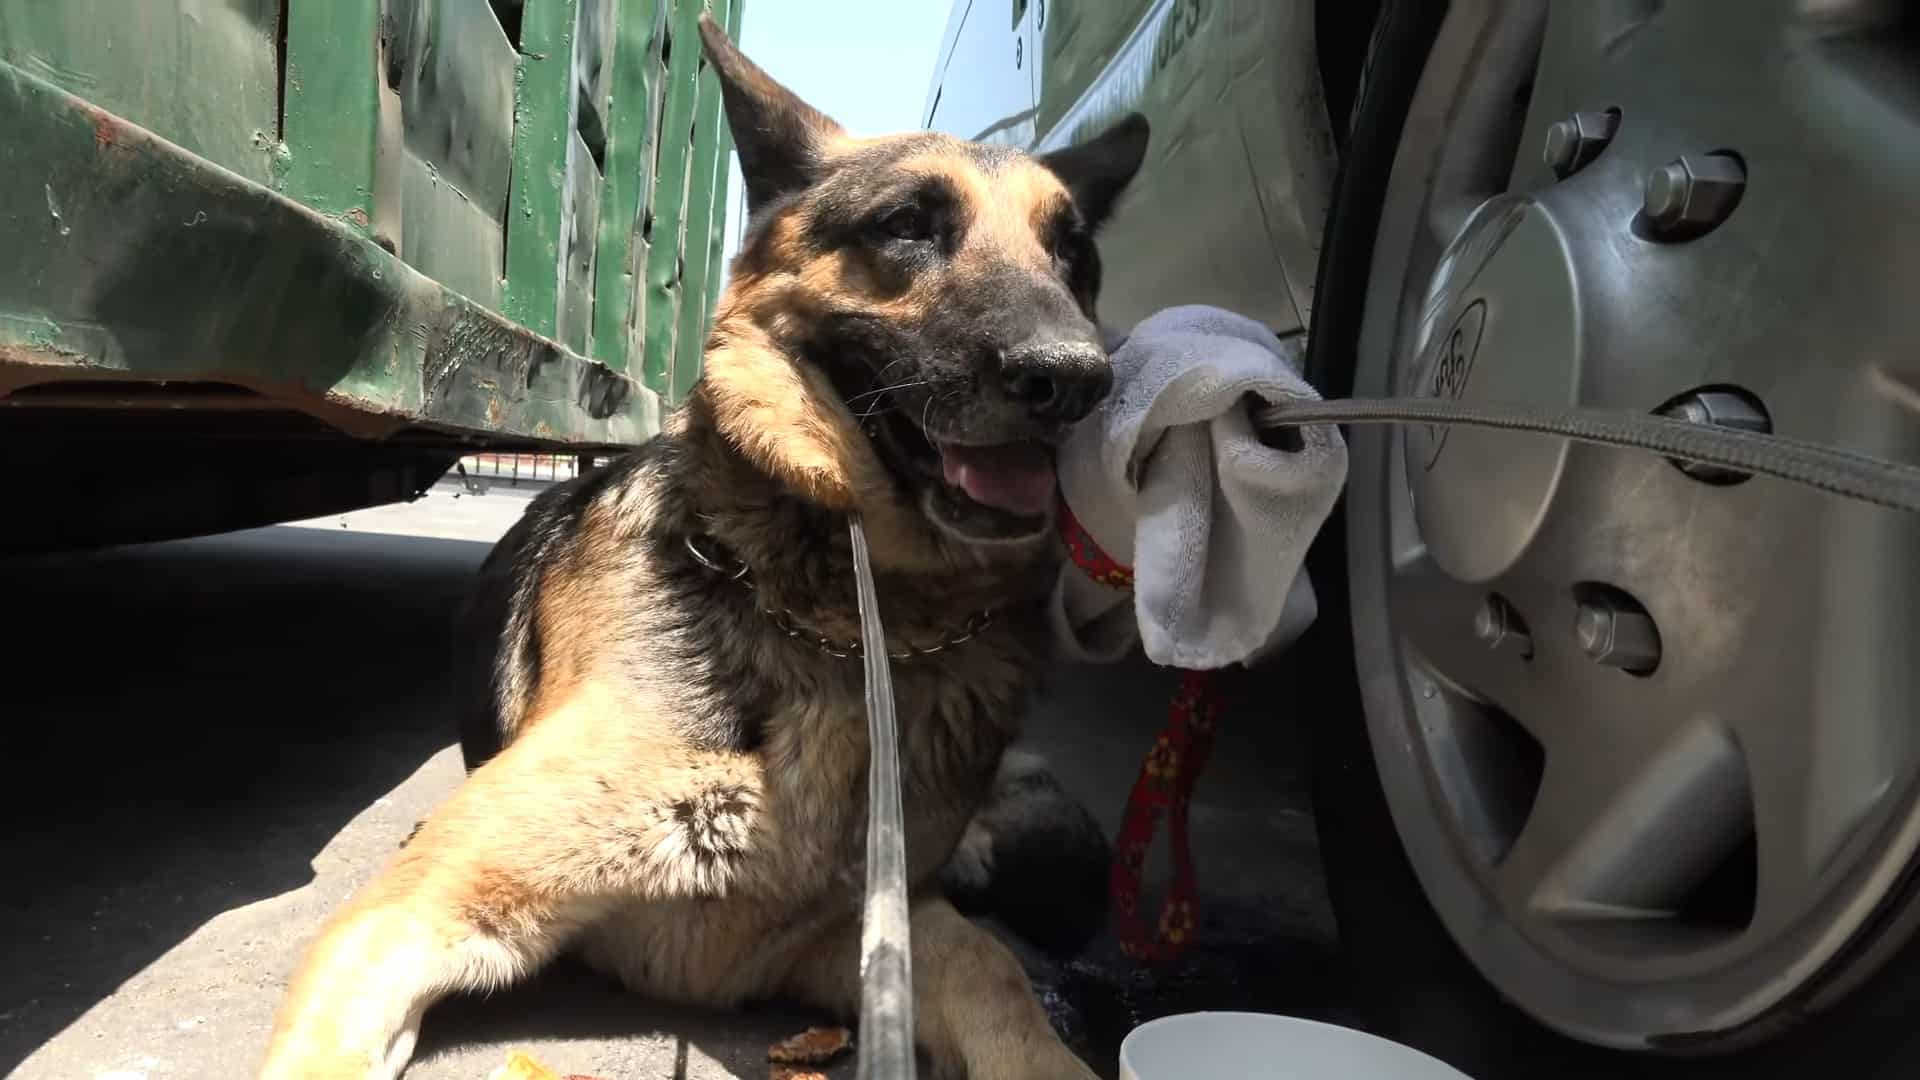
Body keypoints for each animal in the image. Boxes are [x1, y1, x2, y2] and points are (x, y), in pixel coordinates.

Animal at [263, 16, 1144, 1076]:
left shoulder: (859, 936)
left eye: (1073, 256)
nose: (1077, 381)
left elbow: (1001, 981)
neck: (840, 619)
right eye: (908, 225)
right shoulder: (411, 908)